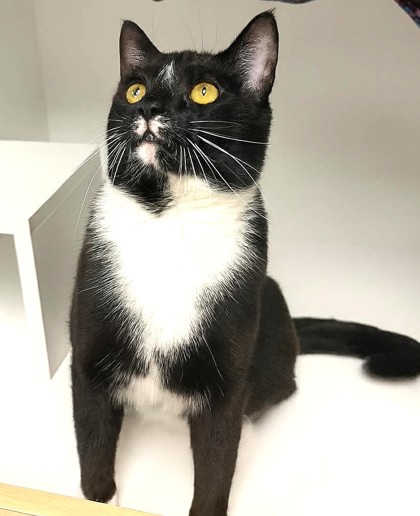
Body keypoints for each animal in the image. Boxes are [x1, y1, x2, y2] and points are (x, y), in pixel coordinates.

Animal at [70, 11, 420, 516]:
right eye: (134, 90)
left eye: (204, 92)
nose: (148, 106)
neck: (170, 221)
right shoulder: (89, 352)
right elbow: (93, 440)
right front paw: (100, 498)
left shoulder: (227, 374)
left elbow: (218, 460)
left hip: (267, 310)